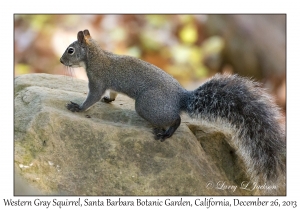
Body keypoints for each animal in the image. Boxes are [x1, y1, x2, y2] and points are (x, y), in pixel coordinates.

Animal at [59, 29, 286, 182]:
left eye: (70, 50)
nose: (61, 61)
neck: (96, 54)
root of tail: (181, 98)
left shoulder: (97, 80)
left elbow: (92, 97)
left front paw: (78, 107)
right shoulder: (108, 84)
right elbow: (111, 93)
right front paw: (109, 100)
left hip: (146, 105)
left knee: (176, 119)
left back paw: (166, 133)